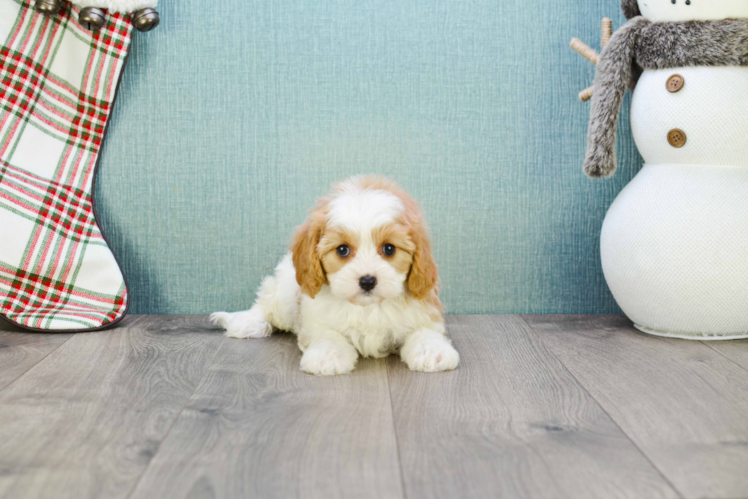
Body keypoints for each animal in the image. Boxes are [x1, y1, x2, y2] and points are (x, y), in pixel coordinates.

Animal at [209, 176, 456, 376]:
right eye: (342, 250)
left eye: (389, 249)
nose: (367, 281)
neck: (367, 307)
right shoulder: (314, 317)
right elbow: (328, 333)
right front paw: (327, 356)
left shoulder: (424, 309)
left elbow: (425, 330)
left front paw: (432, 351)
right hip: (285, 291)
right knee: (266, 303)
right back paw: (248, 323)